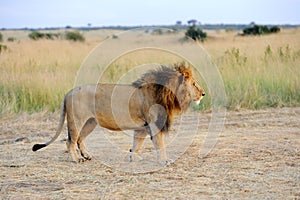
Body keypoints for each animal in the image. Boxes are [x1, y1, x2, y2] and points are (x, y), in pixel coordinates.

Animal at [33, 63, 206, 165]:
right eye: (194, 84)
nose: (203, 93)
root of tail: (68, 92)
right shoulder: (154, 124)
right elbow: (160, 144)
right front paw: (165, 161)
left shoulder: (142, 126)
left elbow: (137, 143)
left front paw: (134, 157)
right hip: (77, 120)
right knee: (70, 141)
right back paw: (77, 159)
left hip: (90, 122)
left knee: (79, 139)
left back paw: (87, 156)